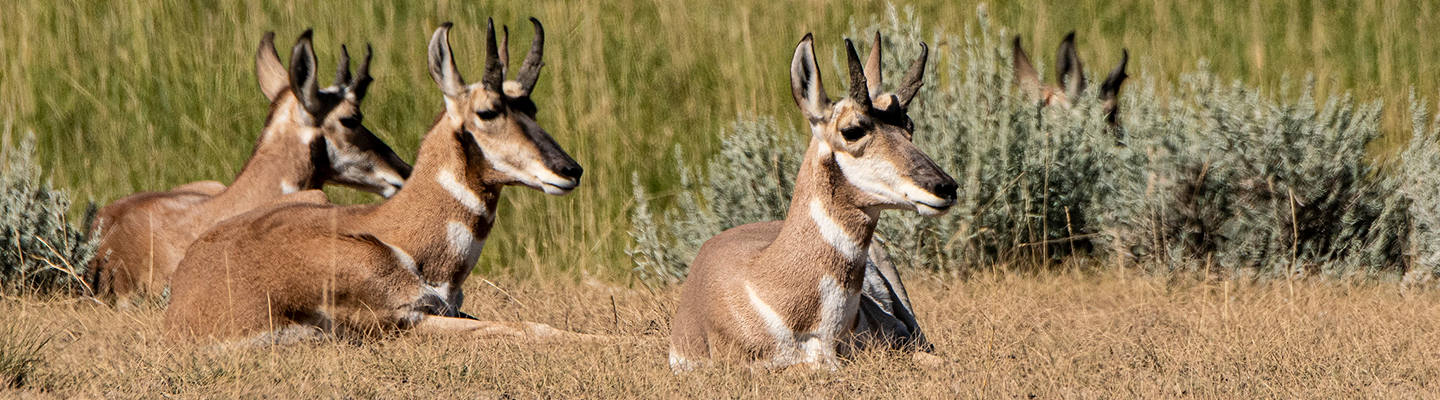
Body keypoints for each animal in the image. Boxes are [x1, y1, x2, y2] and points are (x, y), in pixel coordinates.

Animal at [165, 18, 593, 342]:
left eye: (531, 107)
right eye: (488, 111)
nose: (570, 170)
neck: (398, 235)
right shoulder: (406, 321)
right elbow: (528, 328)